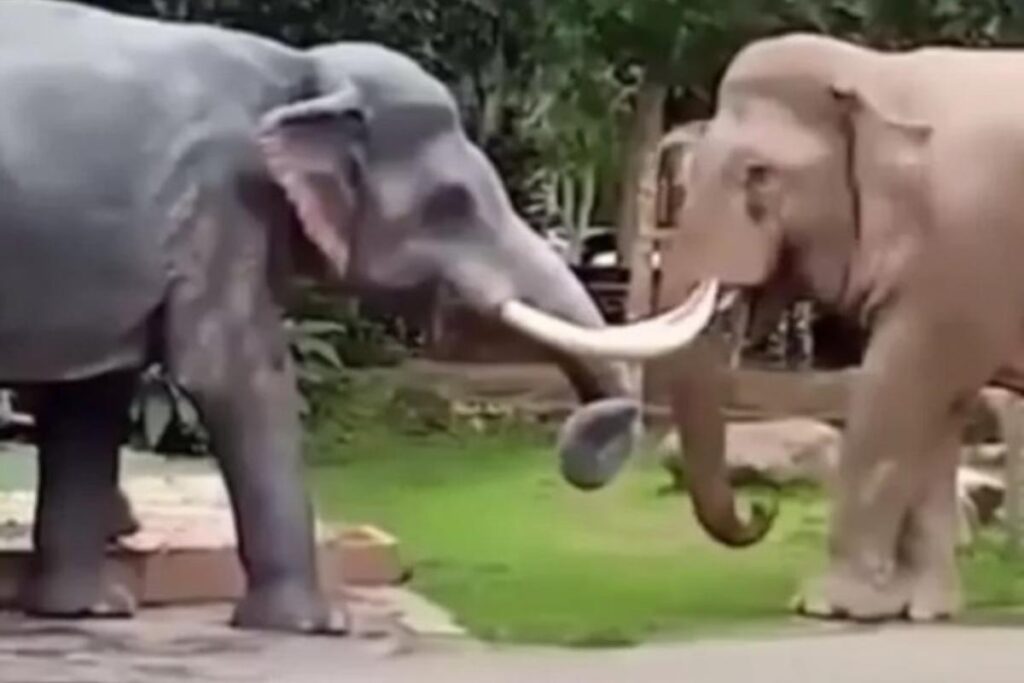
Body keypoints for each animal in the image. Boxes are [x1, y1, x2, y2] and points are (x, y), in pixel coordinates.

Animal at [0, 0, 729, 633]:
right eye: (452, 203)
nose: (584, 443)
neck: (301, 74)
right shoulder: (220, 201)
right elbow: (234, 374)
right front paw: (317, 625)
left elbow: (93, 395)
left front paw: (90, 610)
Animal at [501, 32, 1024, 624]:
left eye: (760, 174)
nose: (761, 508)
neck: (879, 74)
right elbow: (936, 412)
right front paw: (922, 609)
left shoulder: (963, 253)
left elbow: (895, 395)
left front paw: (829, 605)